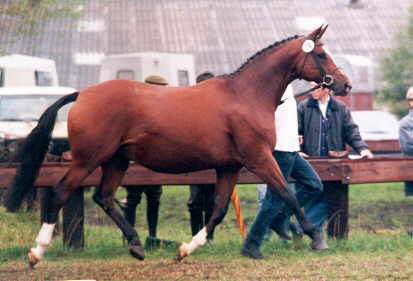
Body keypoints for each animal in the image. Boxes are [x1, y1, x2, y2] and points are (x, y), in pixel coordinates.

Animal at [3, 25, 350, 266]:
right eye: (320, 54)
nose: (344, 85)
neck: (245, 95)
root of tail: (82, 94)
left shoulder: (229, 166)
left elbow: (219, 210)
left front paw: (186, 249)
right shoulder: (260, 159)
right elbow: (287, 195)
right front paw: (314, 235)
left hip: (116, 160)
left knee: (104, 197)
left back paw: (136, 245)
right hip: (87, 160)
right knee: (61, 193)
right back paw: (37, 252)